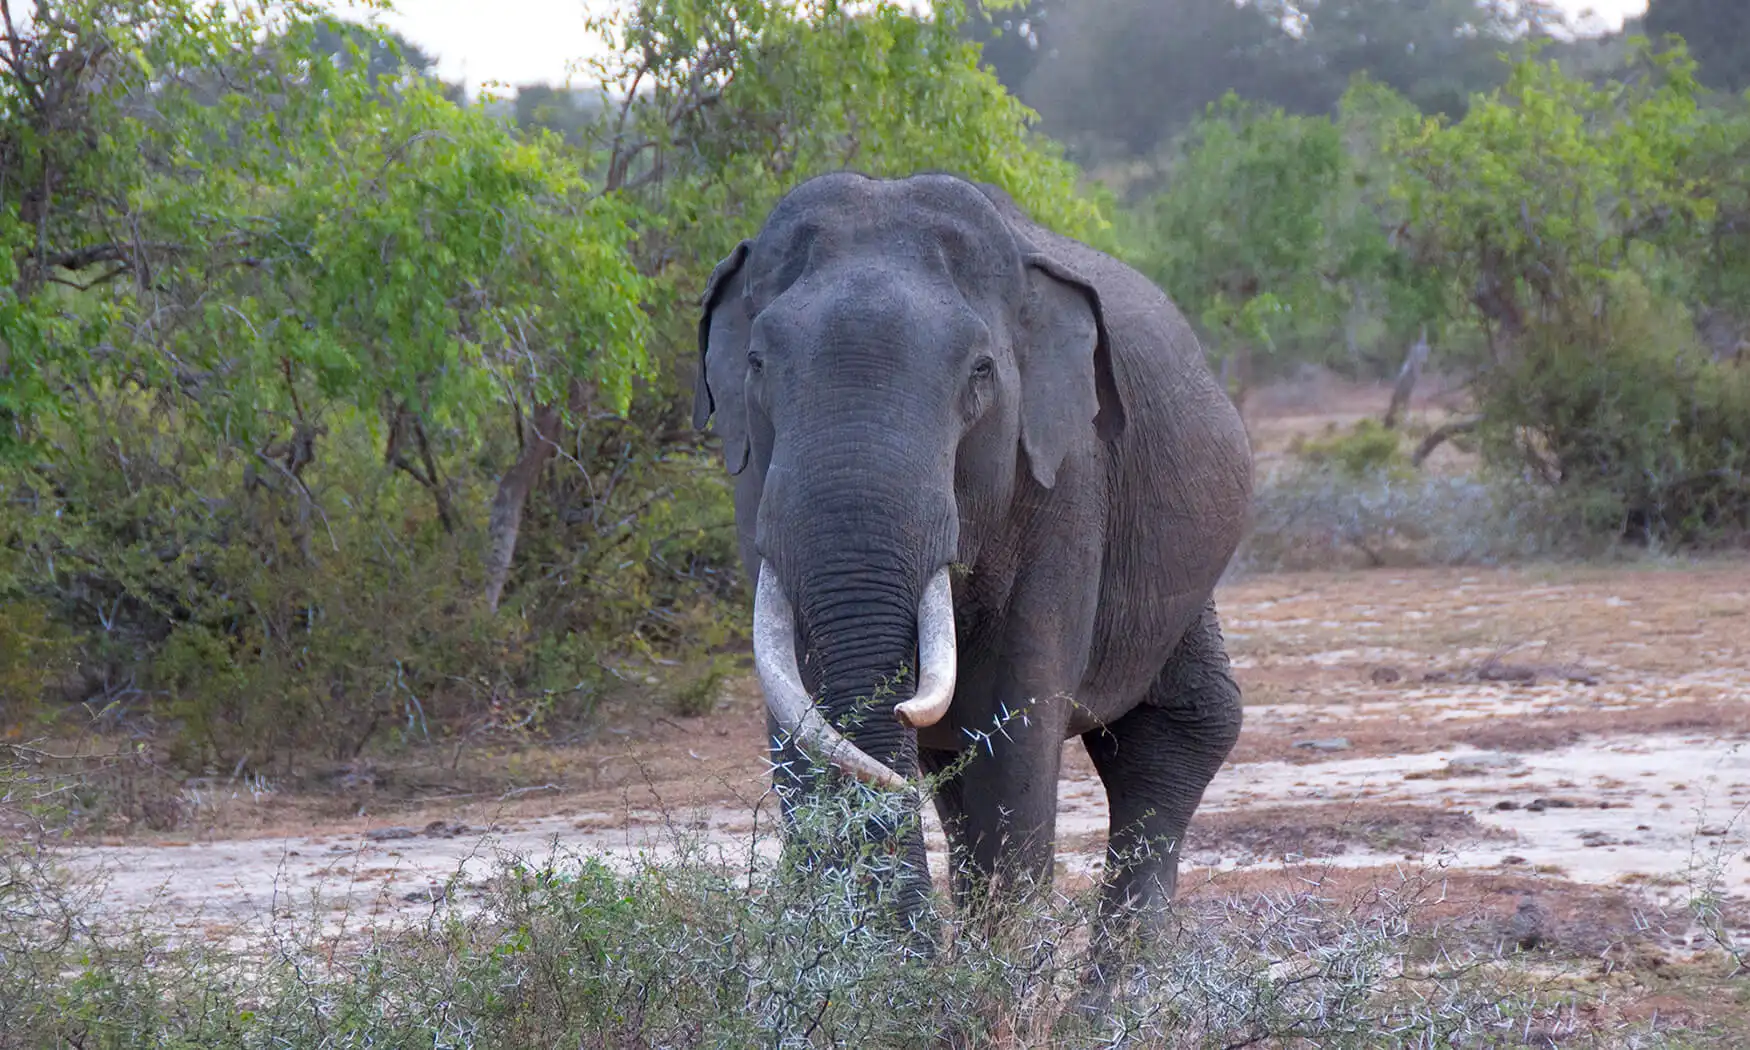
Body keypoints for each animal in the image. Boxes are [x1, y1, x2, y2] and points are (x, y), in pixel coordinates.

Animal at [692, 171, 1252, 951]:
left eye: (981, 373)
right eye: (755, 363)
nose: (900, 705)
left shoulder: (1066, 474)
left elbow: (1010, 731)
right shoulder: (754, 485)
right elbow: (800, 709)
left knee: (1174, 734)